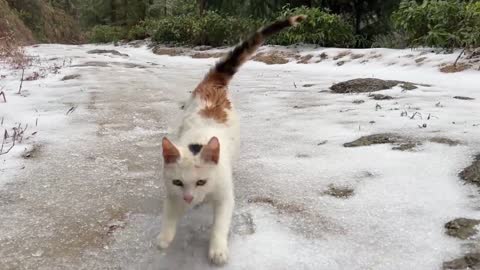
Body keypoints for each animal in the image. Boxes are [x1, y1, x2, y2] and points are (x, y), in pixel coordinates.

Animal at [158, 14, 308, 266]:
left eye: (201, 182)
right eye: (178, 182)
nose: (189, 198)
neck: (198, 139)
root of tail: (213, 83)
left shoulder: (224, 194)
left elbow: (220, 223)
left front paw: (217, 250)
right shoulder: (172, 192)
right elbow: (170, 212)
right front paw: (164, 237)